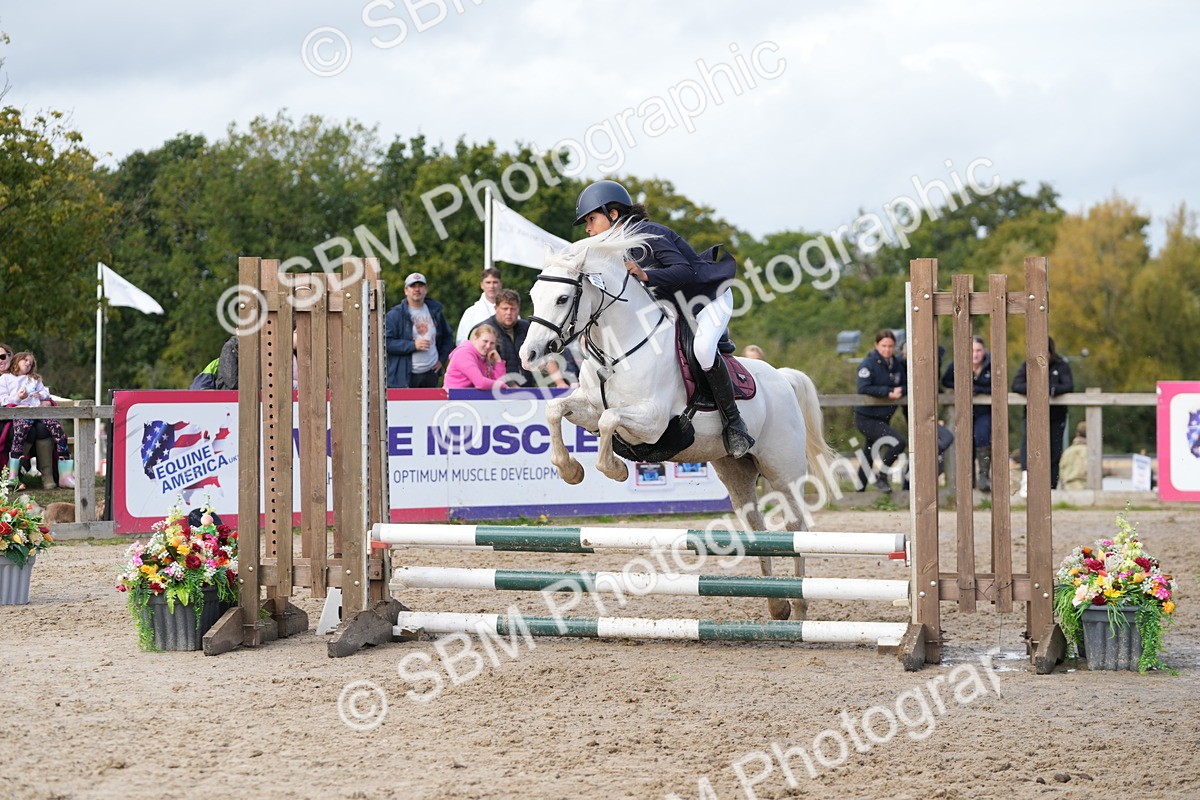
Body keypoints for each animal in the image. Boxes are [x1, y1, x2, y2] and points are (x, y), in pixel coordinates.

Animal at [521, 225, 836, 620]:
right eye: (534, 296)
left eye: (563, 298)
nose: (529, 354)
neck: (619, 349)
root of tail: (782, 376)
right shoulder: (589, 406)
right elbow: (556, 410)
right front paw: (570, 470)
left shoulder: (654, 422)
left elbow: (610, 421)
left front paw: (615, 470)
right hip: (736, 471)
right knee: (756, 527)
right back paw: (777, 605)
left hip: (783, 469)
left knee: (796, 527)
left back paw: (800, 605)